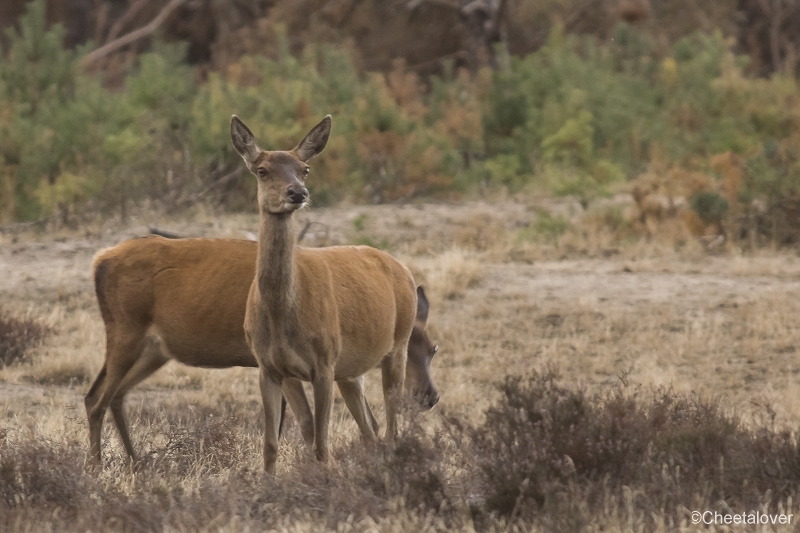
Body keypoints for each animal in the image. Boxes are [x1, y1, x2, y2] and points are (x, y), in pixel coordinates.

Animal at [84, 235, 440, 464]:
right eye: (414, 347)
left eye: (433, 348)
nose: (429, 395)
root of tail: (98, 261)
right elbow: (305, 424)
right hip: (125, 331)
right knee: (95, 398)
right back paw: (97, 468)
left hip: (154, 349)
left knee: (111, 395)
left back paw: (135, 463)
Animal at [231, 114, 418, 472]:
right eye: (262, 170)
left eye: (304, 168)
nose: (297, 193)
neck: (281, 315)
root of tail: (402, 268)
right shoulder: (269, 366)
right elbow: (273, 443)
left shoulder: (324, 360)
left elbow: (321, 444)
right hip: (351, 369)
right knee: (370, 430)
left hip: (398, 341)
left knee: (391, 424)